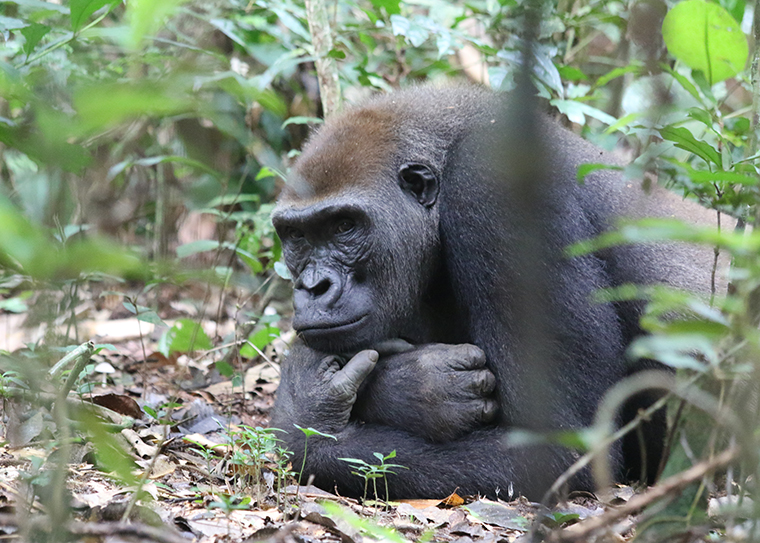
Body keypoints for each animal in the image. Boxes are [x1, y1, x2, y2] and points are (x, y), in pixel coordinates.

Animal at [270, 84, 720, 502]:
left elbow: (561, 445)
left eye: (344, 226)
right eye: (296, 236)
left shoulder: (493, 189)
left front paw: (308, 417)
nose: (313, 287)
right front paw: (411, 390)